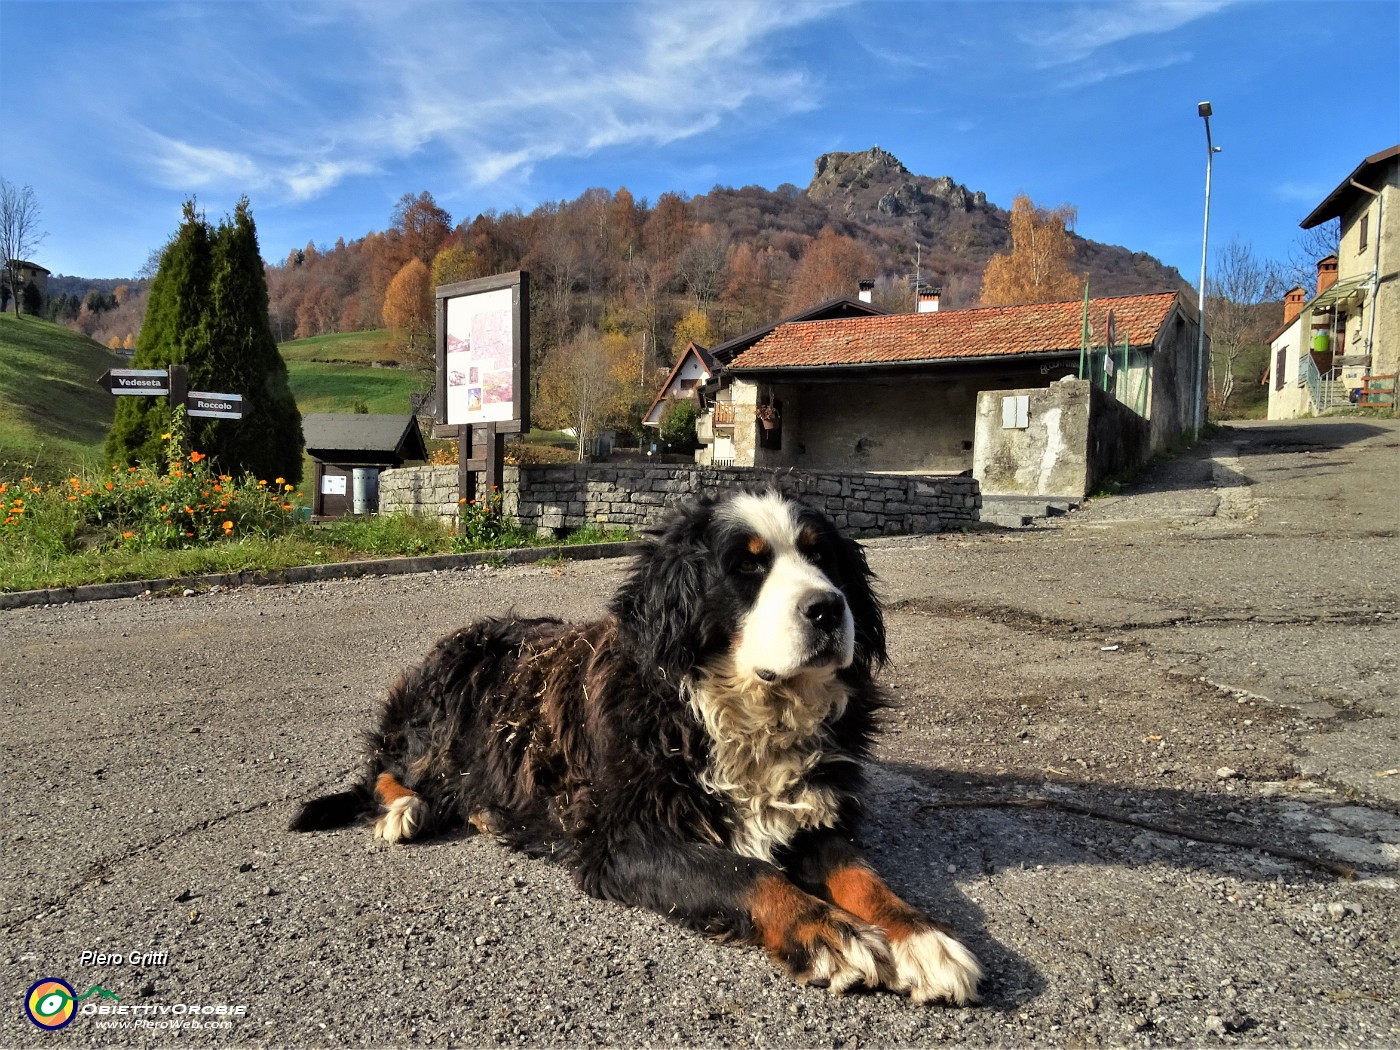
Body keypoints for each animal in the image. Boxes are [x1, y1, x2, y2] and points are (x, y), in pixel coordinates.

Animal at [289, 492, 980, 1002]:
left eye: (823, 556)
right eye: (746, 565)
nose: (828, 609)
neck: (736, 713)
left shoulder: (809, 811)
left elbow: (863, 876)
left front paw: (923, 939)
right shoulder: (628, 838)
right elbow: (745, 873)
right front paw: (827, 933)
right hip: (443, 719)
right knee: (386, 769)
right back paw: (406, 809)